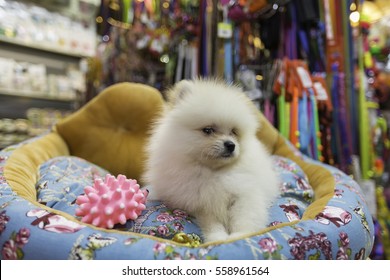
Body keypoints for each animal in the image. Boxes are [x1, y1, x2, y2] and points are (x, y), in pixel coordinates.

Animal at [143, 79, 280, 243]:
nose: (231, 145)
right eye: (208, 130)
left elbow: (244, 217)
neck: (214, 172)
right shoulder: (202, 204)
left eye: (234, 132)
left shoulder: (245, 194)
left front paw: (239, 236)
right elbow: (212, 224)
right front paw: (218, 238)